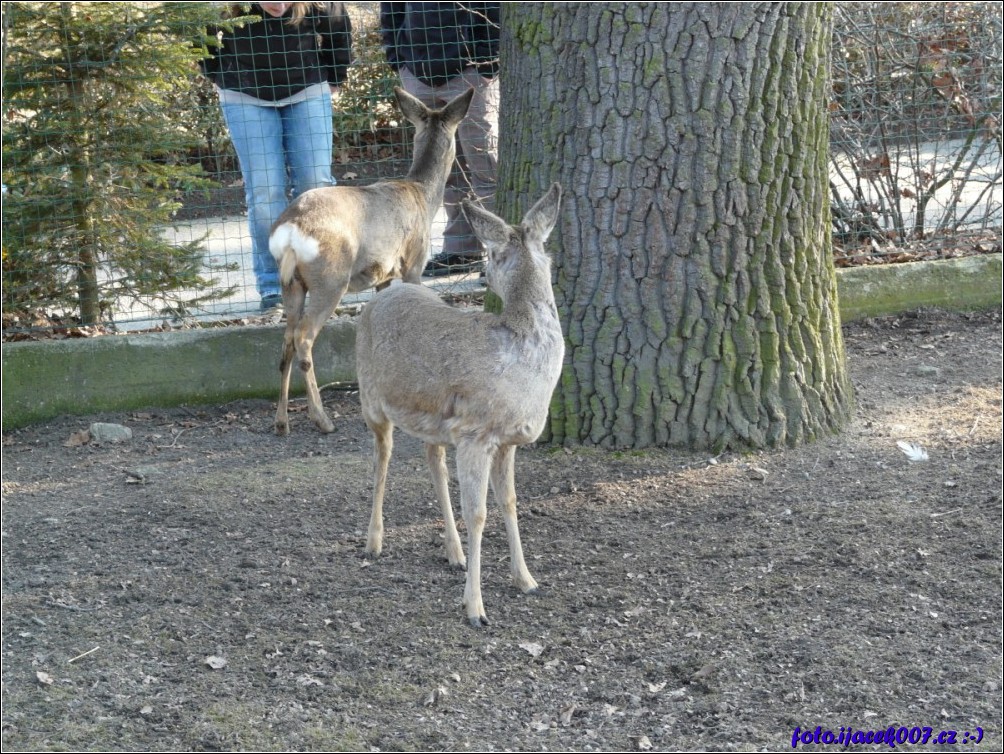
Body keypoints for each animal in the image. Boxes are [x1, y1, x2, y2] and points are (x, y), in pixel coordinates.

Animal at [269, 86, 475, 435]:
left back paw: (282, 422)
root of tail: (290, 230)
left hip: (291, 283)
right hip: (330, 278)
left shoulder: (384, 275)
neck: (422, 196)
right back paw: (322, 419)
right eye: (455, 136)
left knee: (286, 340)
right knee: (303, 338)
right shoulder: (413, 262)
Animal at [355, 184, 566, 630]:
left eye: (490, 257)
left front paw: (526, 579)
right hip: (371, 400)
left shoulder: (507, 442)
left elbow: (510, 502)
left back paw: (454, 553)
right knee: (382, 458)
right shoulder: (475, 433)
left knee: (432, 459)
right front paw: (475, 608)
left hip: (430, 418)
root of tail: (384, 292)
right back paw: (373, 541)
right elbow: (479, 513)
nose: (484, 274)